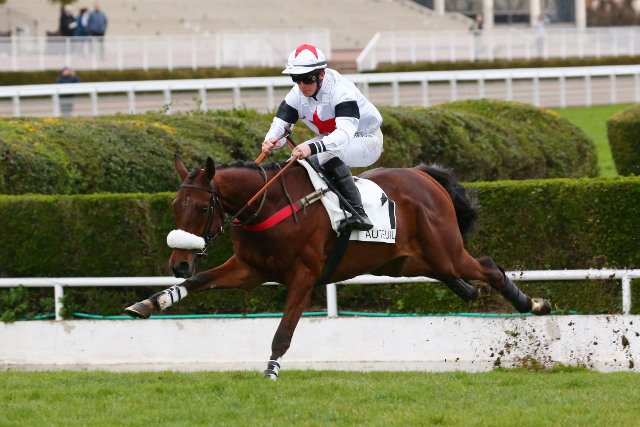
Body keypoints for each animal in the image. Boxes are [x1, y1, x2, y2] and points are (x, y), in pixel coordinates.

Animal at [125, 155, 551, 379]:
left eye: (200, 208)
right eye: (174, 206)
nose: (178, 261)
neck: (269, 205)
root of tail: (424, 176)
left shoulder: (305, 274)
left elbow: (284, 331)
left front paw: (271, 369)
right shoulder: (250, 269)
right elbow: (199, 281)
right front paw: (149, 303)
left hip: (445, 249)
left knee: (488, 266)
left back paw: (534, 304)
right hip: (402, 261)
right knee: (456, 275)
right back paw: (468, 290)